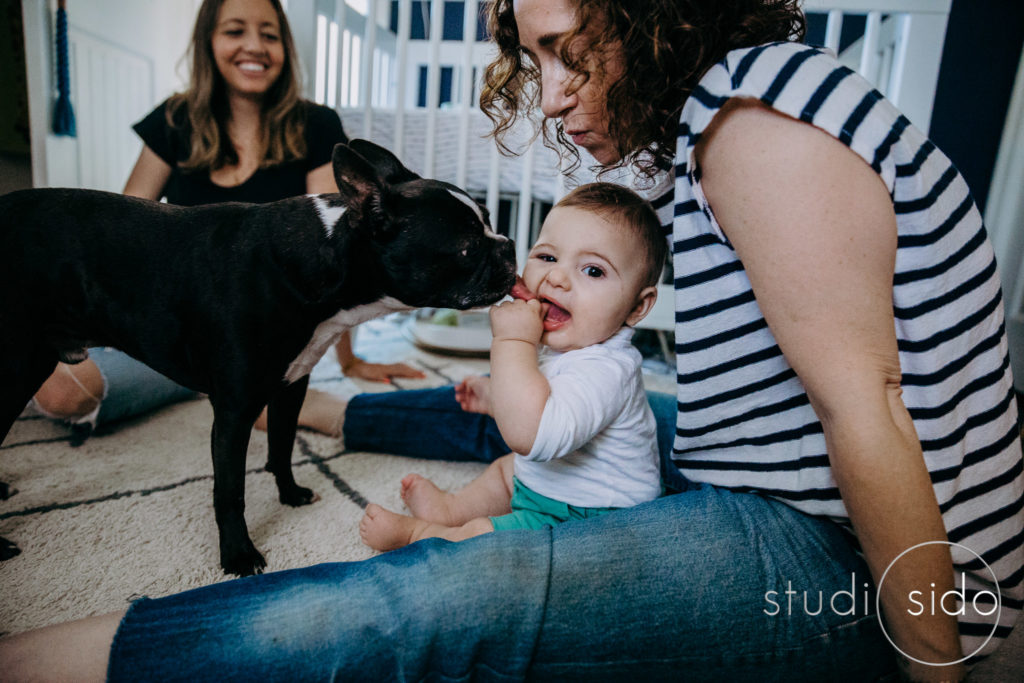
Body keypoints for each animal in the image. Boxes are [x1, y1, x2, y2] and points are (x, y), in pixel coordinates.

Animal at [0, 140, 520, 577]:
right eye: (466, 248)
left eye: (491, 220)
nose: (511, 244)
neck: (323, 257)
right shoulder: (234, 410)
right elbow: (229, 491)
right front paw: (238, 556)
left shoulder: (292, 385)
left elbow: (282, 447)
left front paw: (290, 495)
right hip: (16, 370)